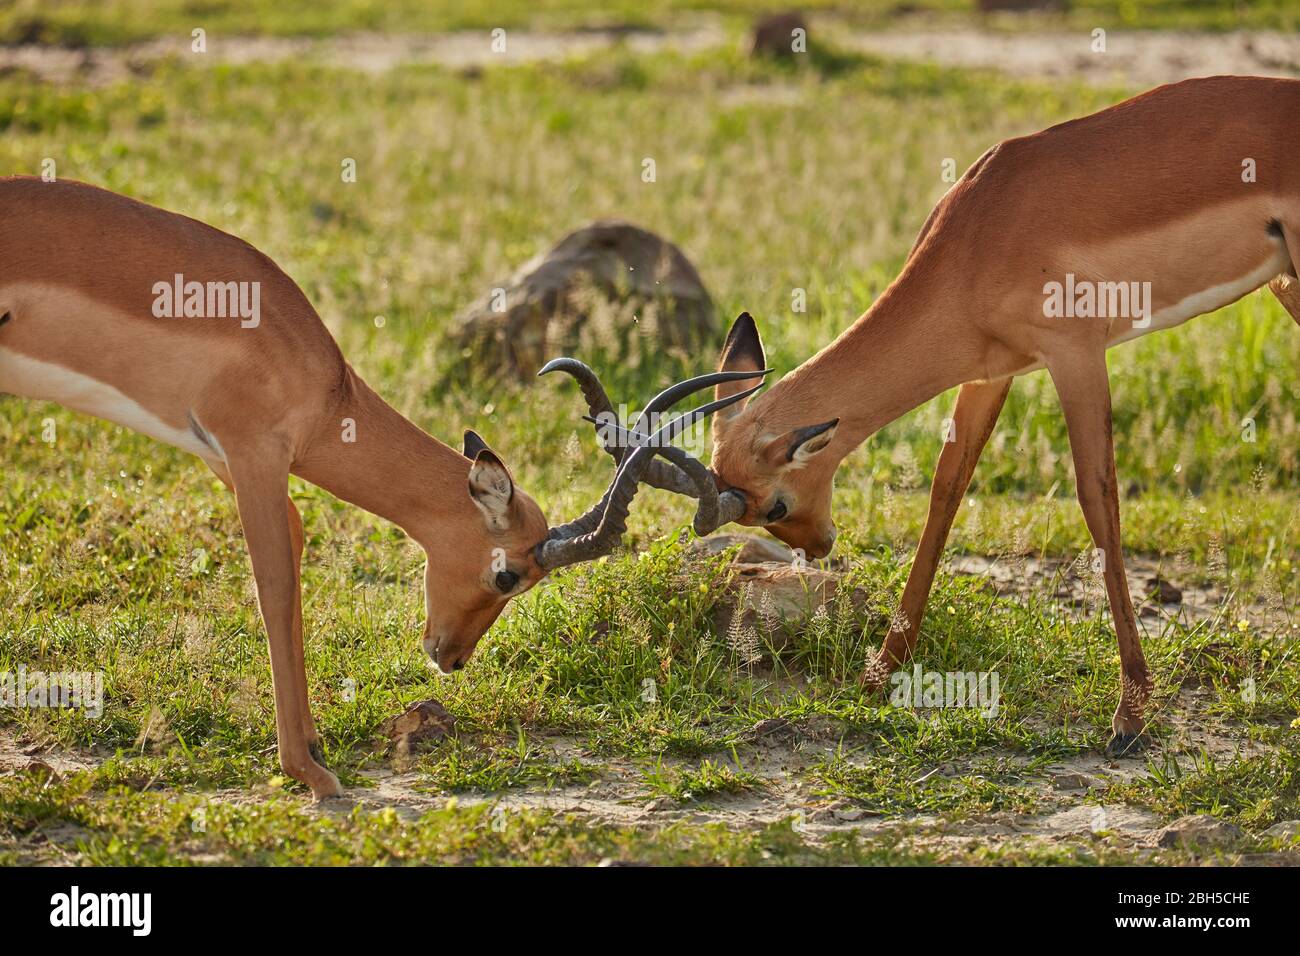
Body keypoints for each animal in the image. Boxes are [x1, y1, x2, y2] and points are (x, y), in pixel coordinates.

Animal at [0, 176, 760, 799]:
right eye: (508, 574)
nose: (451, 658)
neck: (318, 376)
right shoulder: (253, 458)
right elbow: (276, 590)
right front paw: (309, 774)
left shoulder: (234, 463)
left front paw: (313, 748)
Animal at [703, 75, 1298, 756]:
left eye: (774, 505)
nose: (819, 546)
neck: (980, 233)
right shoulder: (990, 374)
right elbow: (945, 490)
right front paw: (878, 673)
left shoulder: (1076, 355)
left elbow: (1098, 501)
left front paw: (1130, 713)